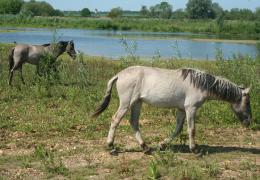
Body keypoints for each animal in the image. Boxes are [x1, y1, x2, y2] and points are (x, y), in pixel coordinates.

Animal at [92, 66, 252, 155]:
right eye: (247, 101)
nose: (249, 121)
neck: (201, 84)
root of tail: (119, 75)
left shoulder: (181, 109)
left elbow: (178, 129)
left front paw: (162, 145)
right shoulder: (191, 109)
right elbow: (191, 129)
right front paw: (194, 149)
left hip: (137, 103)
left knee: (134, 122)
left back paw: (146, 148)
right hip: (126, 103)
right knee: (115, 120)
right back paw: (111, 146)